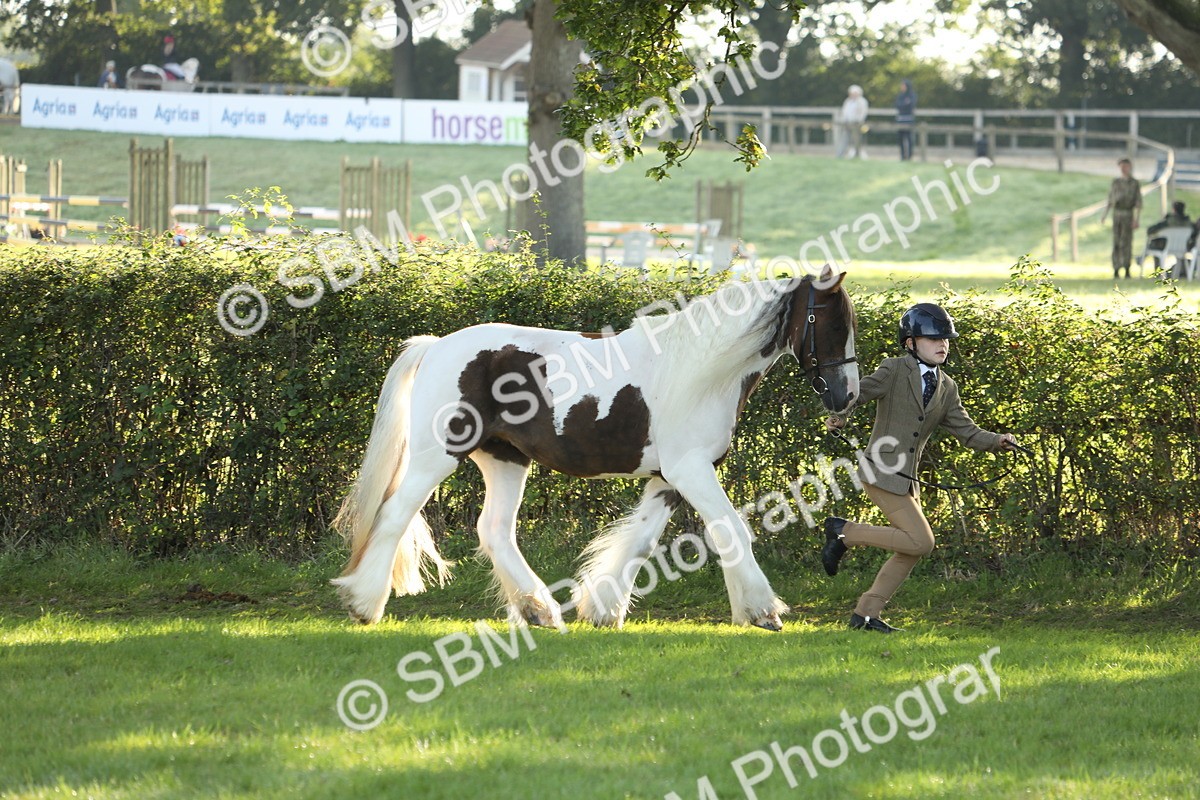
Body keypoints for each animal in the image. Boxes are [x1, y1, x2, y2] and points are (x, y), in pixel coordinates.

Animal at [332, 267, 859, 631]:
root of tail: (436, 345)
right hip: (435, 456)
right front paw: (763, 610)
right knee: (394, 515)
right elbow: (731, 530)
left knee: (494, 531)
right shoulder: (691, 470)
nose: (846, 396)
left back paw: (540, 610)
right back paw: (363, 603)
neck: (700, 372)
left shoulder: (667, 479)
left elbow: (641, 542)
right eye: (832, 324)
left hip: (505, 459)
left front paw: (603, 610)